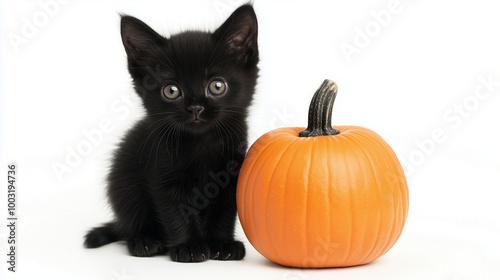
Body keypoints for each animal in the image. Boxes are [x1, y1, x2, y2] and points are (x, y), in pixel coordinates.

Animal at [84, 4, 258, 262]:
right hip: (123, 186)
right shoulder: (161, 174)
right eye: (171, 91)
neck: (201, 143)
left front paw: (222, 244)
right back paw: (144, 241)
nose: (195, 108)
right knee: (131, 224)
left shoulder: (231, 174)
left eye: (217, 86)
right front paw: (189, 247)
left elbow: (224, 211)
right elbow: (176, 210)